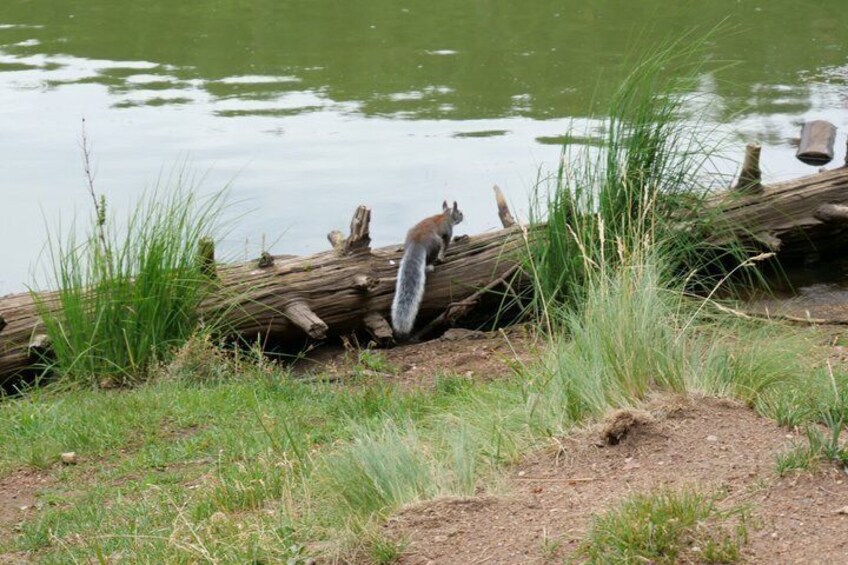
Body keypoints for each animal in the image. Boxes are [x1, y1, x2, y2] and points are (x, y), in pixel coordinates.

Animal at [391, 201, 464, 339]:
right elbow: (445, 247)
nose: (463, 217)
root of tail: (417, 242)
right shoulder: (447, 233)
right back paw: (430, 266)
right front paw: (442, 257)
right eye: (460, 212)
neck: (445, 215)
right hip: (436, 243)